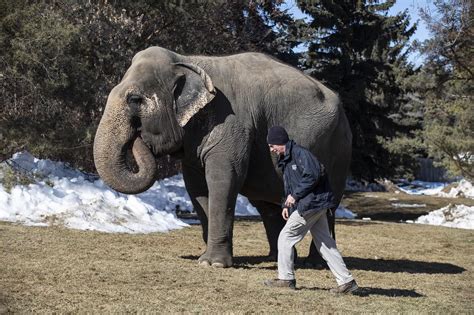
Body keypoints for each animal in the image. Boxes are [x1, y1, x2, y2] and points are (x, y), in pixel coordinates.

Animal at [93, 46, 352, 270]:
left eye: (135, 100)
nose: (140, 137)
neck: (188, 61)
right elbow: (197, 189)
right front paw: (205, 258)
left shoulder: (231, 124)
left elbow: (224, 179)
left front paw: (213, 264)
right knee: (266, 206)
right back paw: (277, 257)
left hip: (338, 150)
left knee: (327, 205)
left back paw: (315, 263)